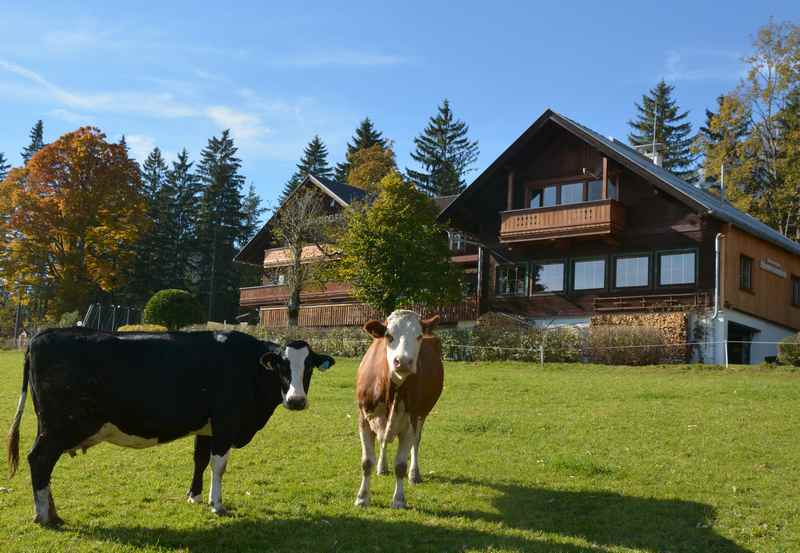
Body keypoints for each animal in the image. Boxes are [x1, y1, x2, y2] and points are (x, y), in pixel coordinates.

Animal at [5, 326, 334, 524]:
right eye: (281, 366)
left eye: (308, 367)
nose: (296, 401)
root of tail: (42, 334)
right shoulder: (226, 422)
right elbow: (219, 465)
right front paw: (217, 504)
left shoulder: (207, 426)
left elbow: (200, 459)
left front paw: (194, 496)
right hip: (60, 426)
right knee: (39, 460)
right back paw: (45, 517)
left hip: (50, 426)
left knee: (43, 464)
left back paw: (52, 513)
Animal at [356, 308, 444, 506]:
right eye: (389, 336)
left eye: (419, 336)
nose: (403, 361)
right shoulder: (364, 418)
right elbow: (366, 462)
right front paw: (362, 497)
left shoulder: (410, 422)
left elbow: (401, 465)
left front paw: (398, 499)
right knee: (383, 441)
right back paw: (382, 467)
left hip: (422, 415)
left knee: (416, 443)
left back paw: (414, 474)